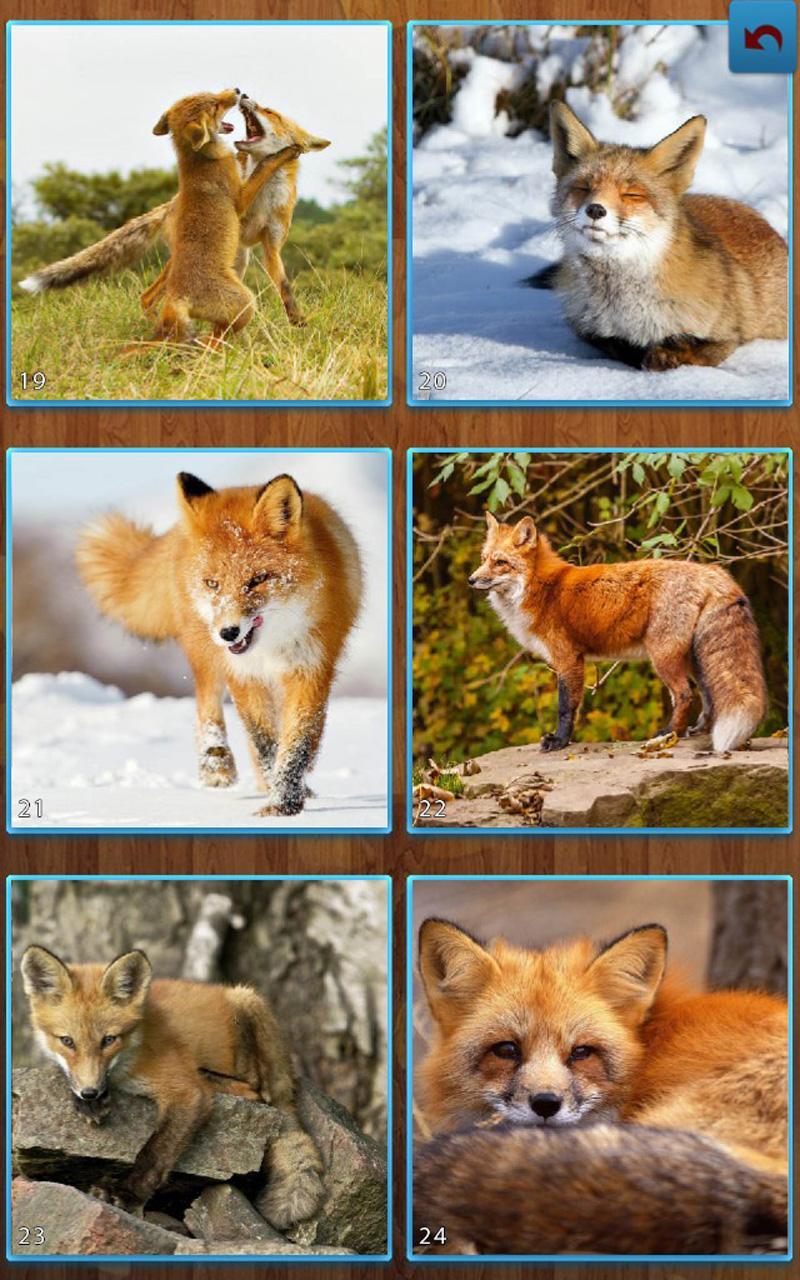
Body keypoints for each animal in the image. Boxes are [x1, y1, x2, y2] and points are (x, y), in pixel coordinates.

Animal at [19, 96, 329, 327]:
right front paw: (281, 155)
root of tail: (172, 203)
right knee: (149, 295)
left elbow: (284, 287)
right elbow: (261, 168)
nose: (246, 95)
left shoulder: (270, 244)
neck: (263, 200)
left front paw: (297, 322)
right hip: (195, 256)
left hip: (238, 256)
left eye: (270, 111)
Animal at [20, 944, 324, 1226]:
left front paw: (127, 1194)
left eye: (108, 1040)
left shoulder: (186, 1091)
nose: (90, 1092)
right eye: (67, 1041)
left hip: (247, 1005)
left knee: (256, 1091)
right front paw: (89, 1102)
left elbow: (155, 1152)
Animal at [76, 472, 362, 816]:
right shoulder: (243, 674)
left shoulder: (310, 669)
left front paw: (284, 801)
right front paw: (280, 800)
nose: (228, 632)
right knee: (206, 704)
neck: (270, 648)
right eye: (213, 583)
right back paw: (216, 764)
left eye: (257, 580)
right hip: (206, 653)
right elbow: (264, 741)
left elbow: (297, 742)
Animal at [469, 509, 767, 753]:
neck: (541, 589)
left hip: (663, 656)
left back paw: (669, 734)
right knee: (708, 696)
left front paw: (559, 741)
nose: (471, 579)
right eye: (484, 559)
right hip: (694, 657)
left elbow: (566, 707)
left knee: (685, 694)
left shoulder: (568, 659)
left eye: (500, 562)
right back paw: (695, 731)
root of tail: (712, 571)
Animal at [536, 101, 788, 370]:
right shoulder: (587, 328)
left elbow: (696, 348)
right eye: (584, 187)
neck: (622, 304)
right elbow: (618, 345)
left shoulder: (729, 334)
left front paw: (667, 353)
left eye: (632, 195)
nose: (595, 209)